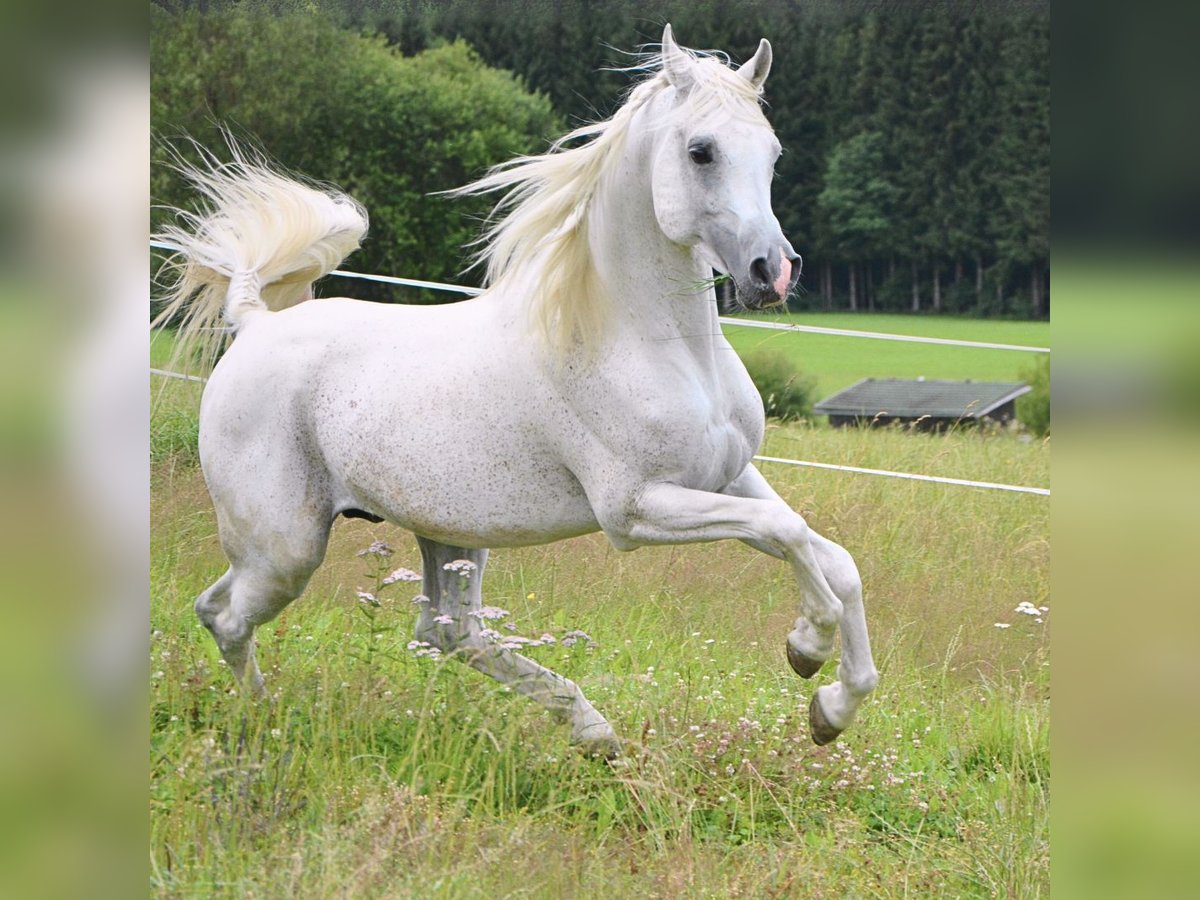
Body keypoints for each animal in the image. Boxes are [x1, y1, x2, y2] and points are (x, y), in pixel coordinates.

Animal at [154, 28, 878, 758]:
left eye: (773, 152)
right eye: (701, 150)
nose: (773, 271)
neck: (655, 344)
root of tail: (254, 323)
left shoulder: (730, 478)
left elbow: (836, 560)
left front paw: (832, 709)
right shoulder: (637, 510)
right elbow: (787, 532)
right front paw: (807, 648)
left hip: (446, 531)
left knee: (446, 631)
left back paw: (593, 731)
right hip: (285, 548)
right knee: (226, 616)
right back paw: (261, 727)